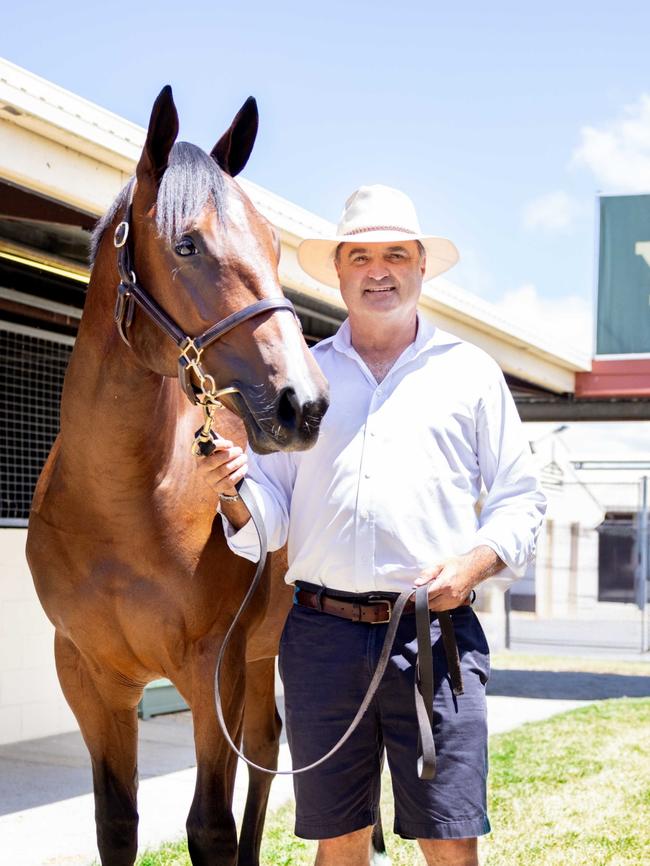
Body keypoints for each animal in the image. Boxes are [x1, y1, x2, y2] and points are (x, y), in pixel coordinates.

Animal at [25, 88, 330, 864]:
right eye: (186, 244)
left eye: (275, 246)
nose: (304, 403)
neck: (119, 503)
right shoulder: (90, 678)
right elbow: (116, 822)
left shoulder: (213, 666)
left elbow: (208, 827)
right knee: (270, 745)